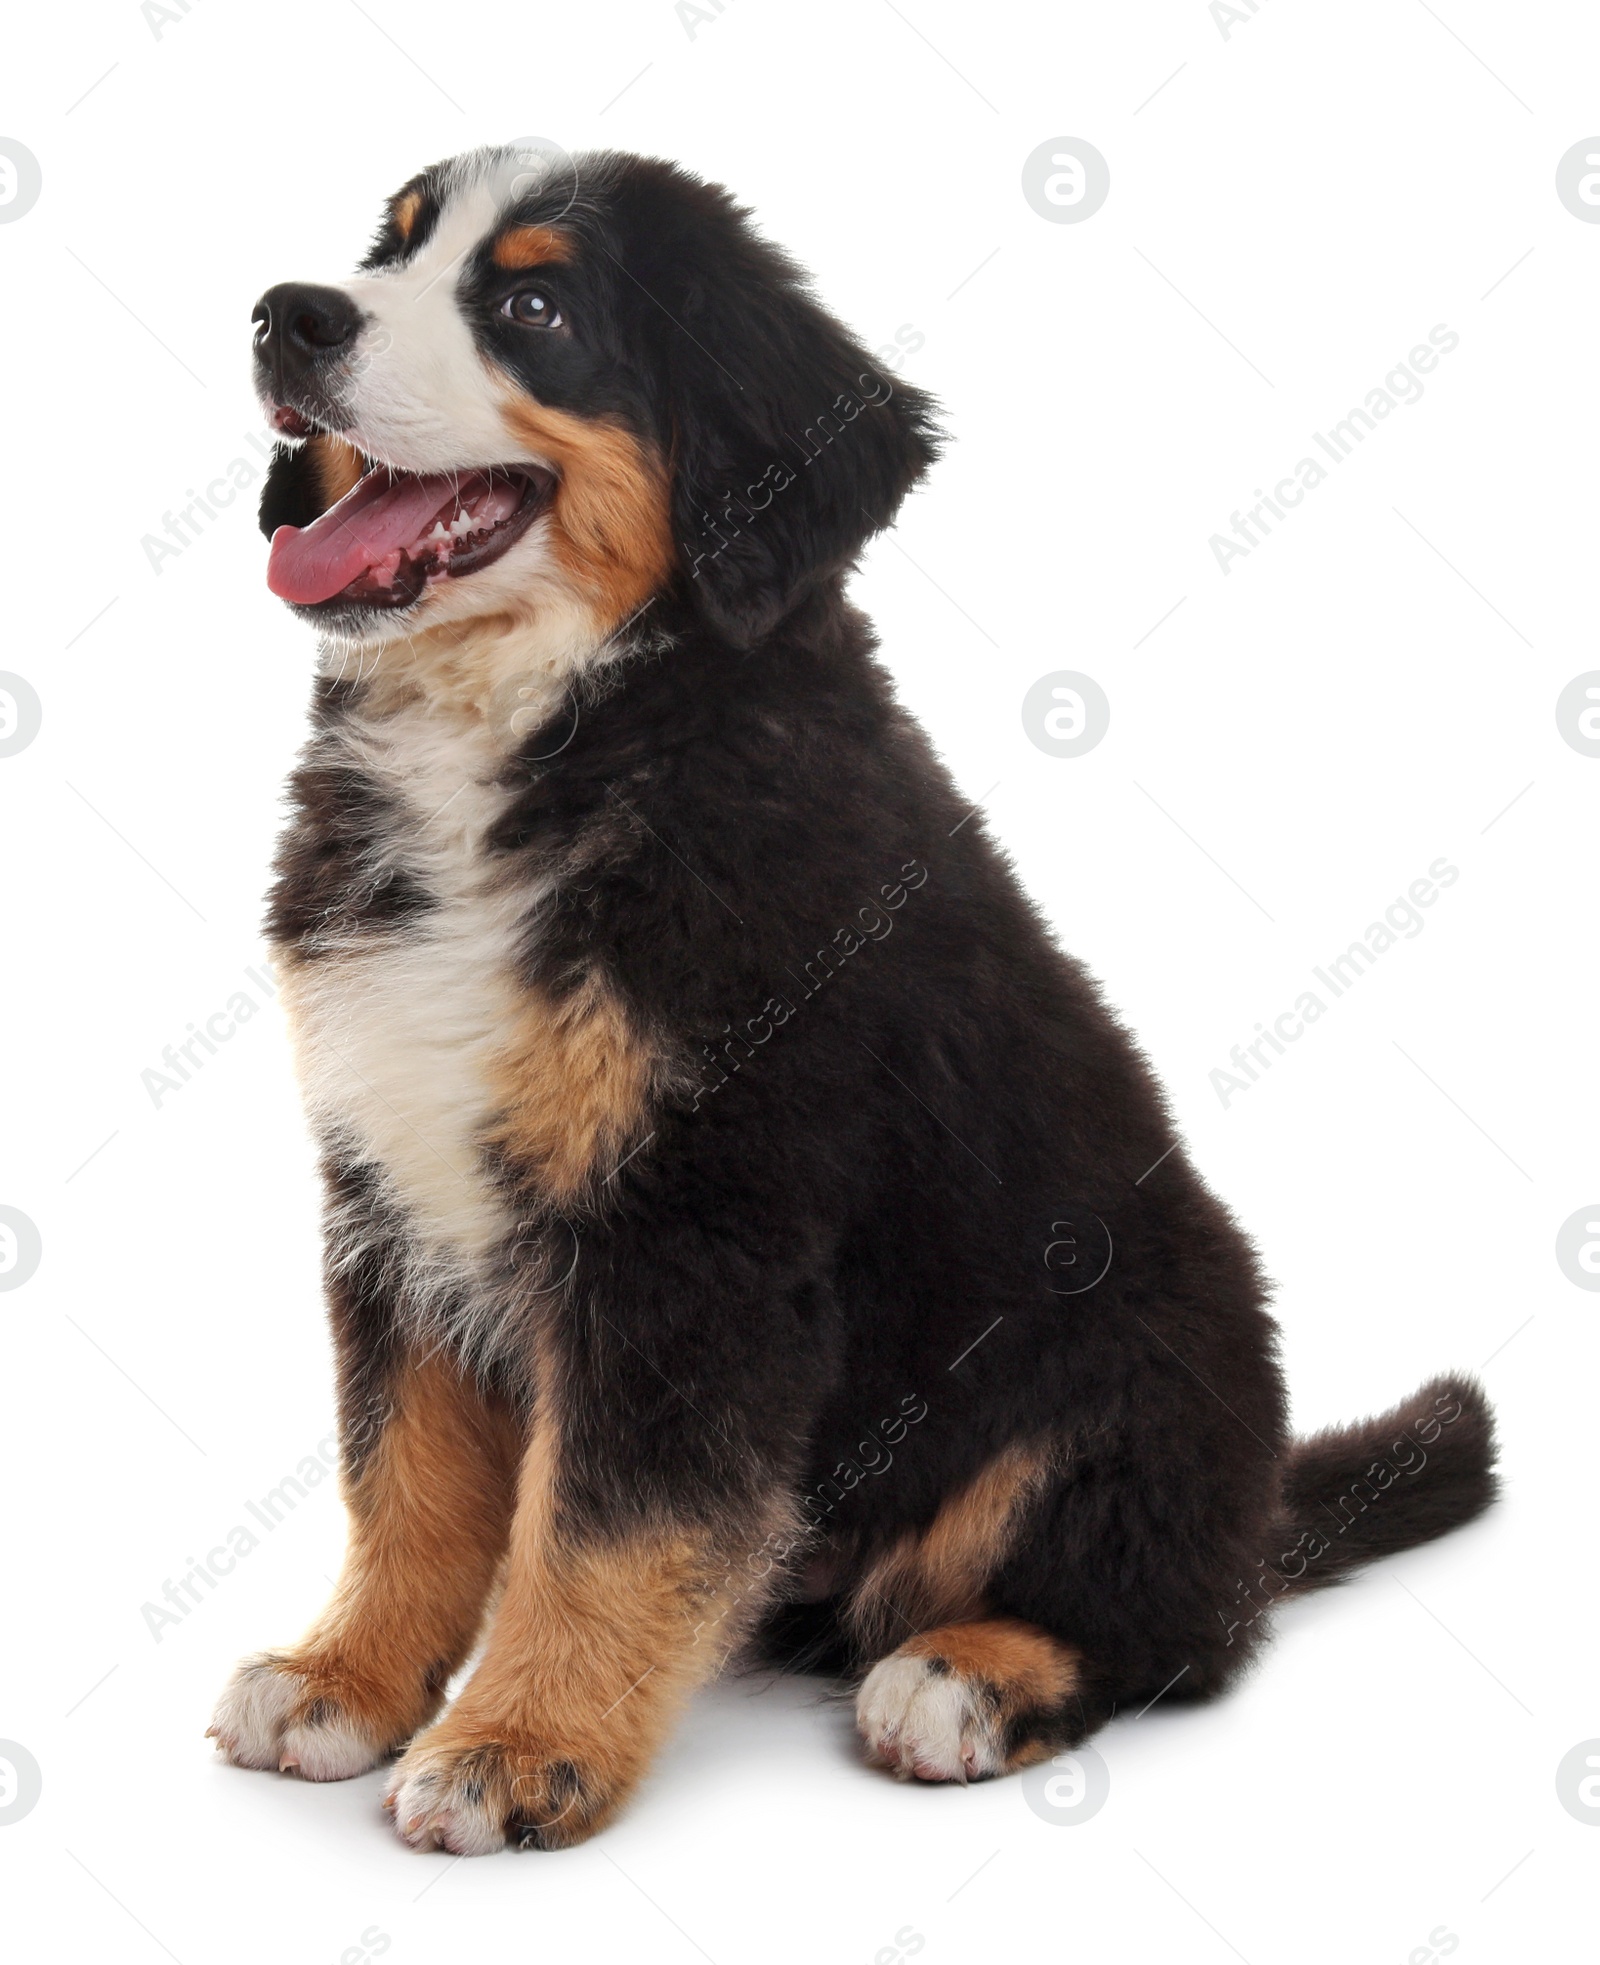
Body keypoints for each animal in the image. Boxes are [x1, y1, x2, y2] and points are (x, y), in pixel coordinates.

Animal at [206, 145, 1493, 1847]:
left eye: (534, 308)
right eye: (388, 251)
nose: (287, 316)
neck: (543, 730)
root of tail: (1262, 1497)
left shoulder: (699, 1224)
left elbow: (603, 1517)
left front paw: (518, 1746)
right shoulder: (388, 1181)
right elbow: (401, 1467)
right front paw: (344, 1677)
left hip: (1126, 1359)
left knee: (1175, 1623)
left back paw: (967, 1678)